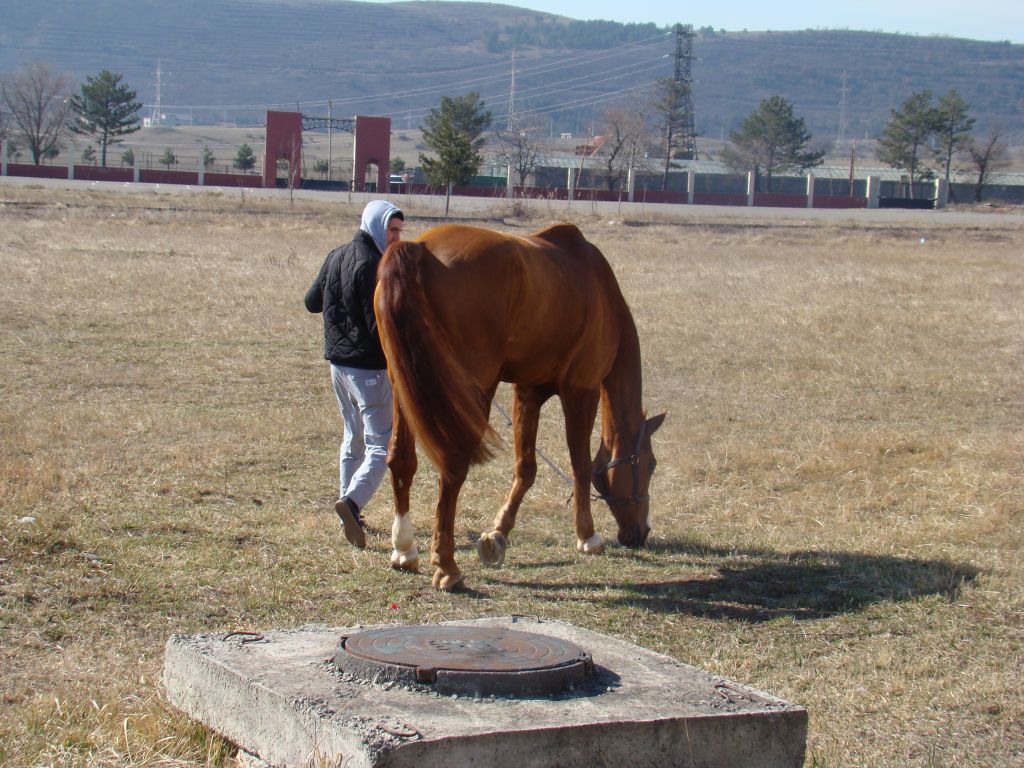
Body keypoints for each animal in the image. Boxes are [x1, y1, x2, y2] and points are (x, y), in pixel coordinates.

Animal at [376, 224, 663, 593]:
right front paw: (588, 536)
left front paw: (498, 534)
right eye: (650, 465)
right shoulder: (581, 390)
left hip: (406, 386)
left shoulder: (528, 392)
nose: (641, 533)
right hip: (470, 392)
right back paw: (447, 566)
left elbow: (526, 469)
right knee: (452, 467)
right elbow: (581, 466)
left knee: (401, 460)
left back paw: (404, 549)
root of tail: (418, 249)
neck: (600, 288)